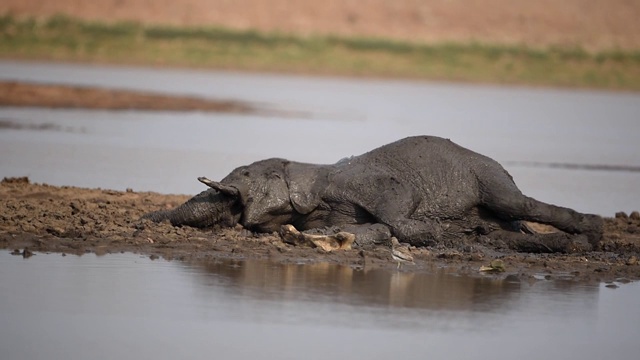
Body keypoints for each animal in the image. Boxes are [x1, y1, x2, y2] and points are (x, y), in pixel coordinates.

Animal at [142, 136, 604, 253]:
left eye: (244, 175)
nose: (140, 220)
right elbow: (374, 229)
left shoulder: (361, 184)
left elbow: (397, 216)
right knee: (509, 225)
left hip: (488, 174)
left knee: (516, 204)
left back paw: (591, 234)